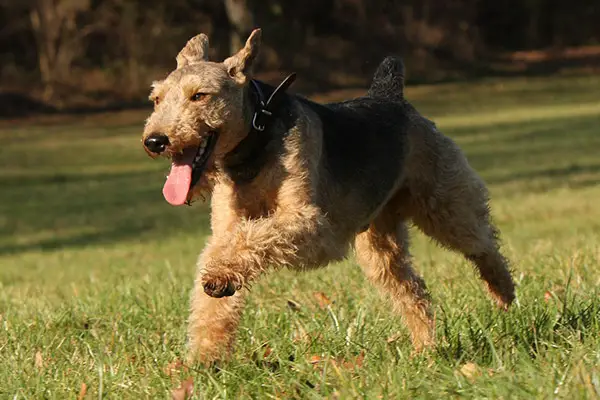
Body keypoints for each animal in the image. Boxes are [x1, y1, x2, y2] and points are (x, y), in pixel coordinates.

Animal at [142, 28, 516, 364]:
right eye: (156, 99)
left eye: (199, 96)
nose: (155, 141)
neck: (255, 144)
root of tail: (390, 96)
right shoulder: (224, 230)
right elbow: (217, 279)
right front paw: (204, 359)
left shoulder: (313, 226)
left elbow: (254, 238)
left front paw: (219, 277)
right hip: (379, 245)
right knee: (414, 290)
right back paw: (425, 348)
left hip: (444, 205)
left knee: (484, 245)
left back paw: (504, 293)